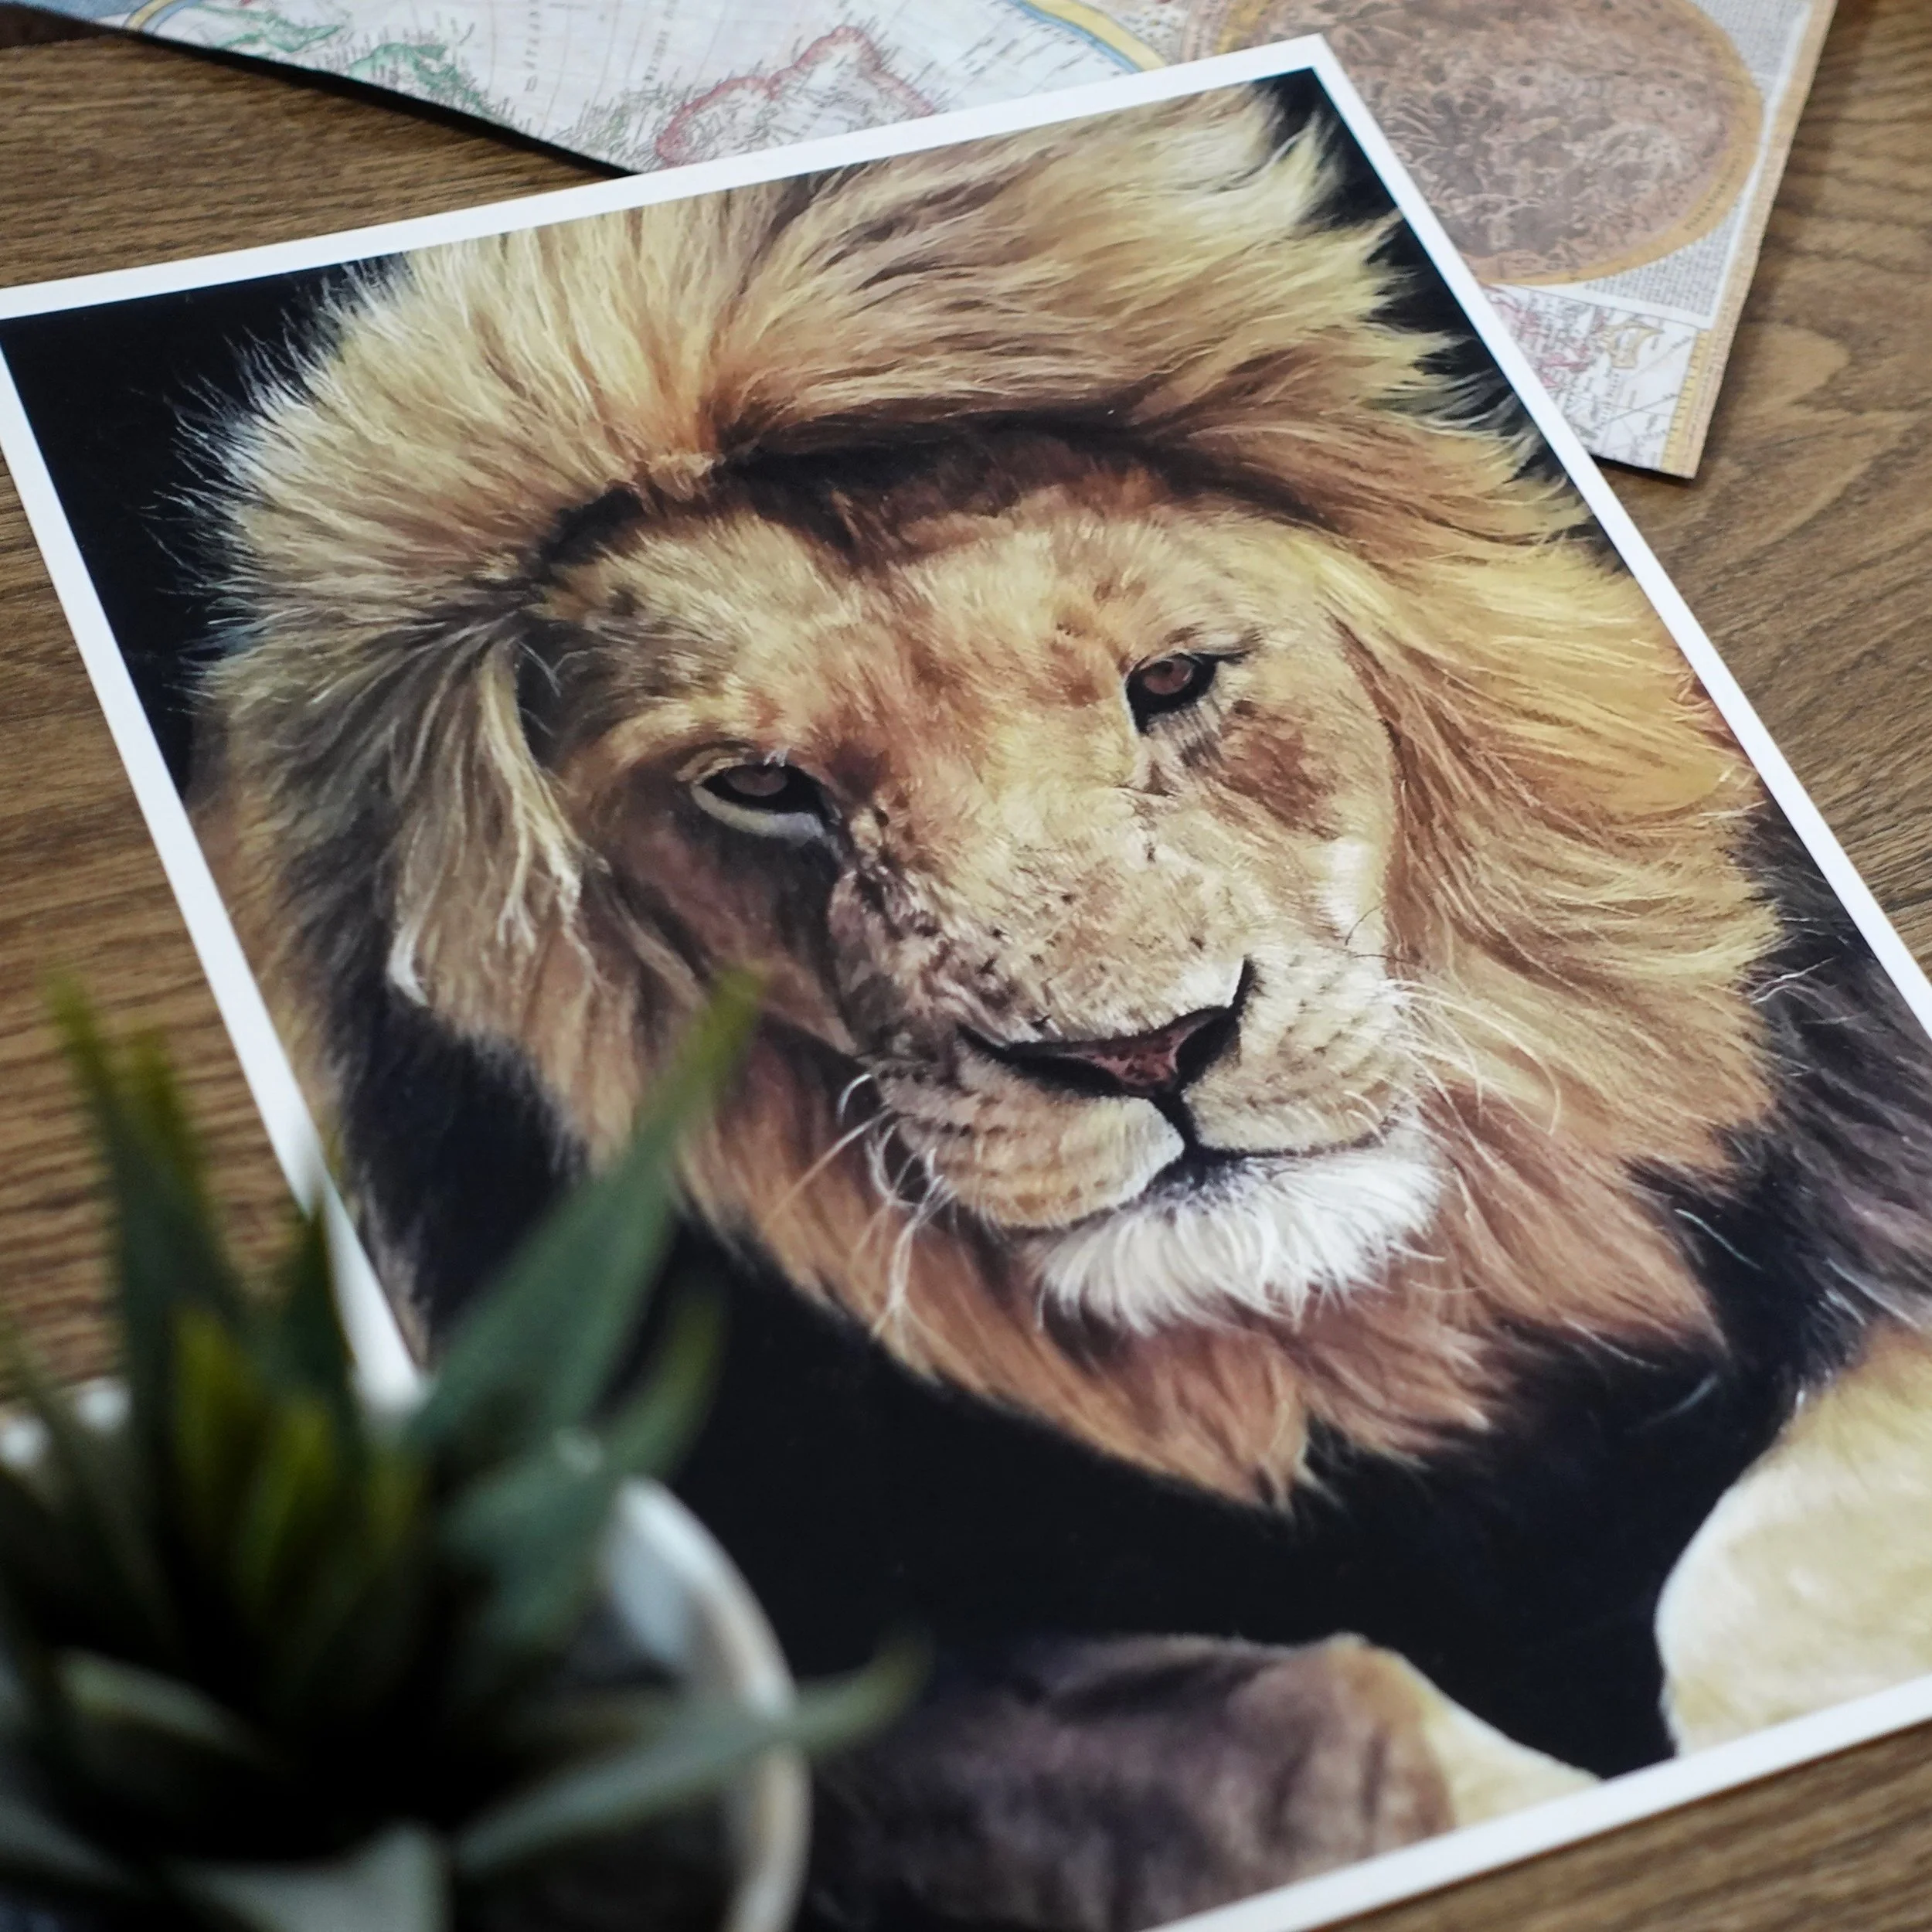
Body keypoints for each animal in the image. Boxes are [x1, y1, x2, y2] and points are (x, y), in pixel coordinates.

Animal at [189, 80, 1932, 1927]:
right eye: (761, 787)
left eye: (1171, 680)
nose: (1145, 1049)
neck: (1343, 1342)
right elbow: (1316, 1718)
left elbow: (1773, 1552)